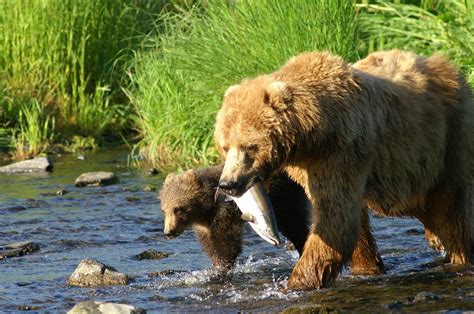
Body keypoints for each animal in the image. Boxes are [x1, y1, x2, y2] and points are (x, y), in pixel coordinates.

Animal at [215, 51, 474, 290]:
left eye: (249, 146)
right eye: (225, 146)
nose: (228, 183)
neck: (313, 132)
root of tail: (446, 65)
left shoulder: (341, 153)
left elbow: (335, 219)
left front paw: (296, 283)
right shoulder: (311, 168)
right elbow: (353, 225)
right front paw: (366, 269)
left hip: (445, 140)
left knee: (450, 210)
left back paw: (459, 255)